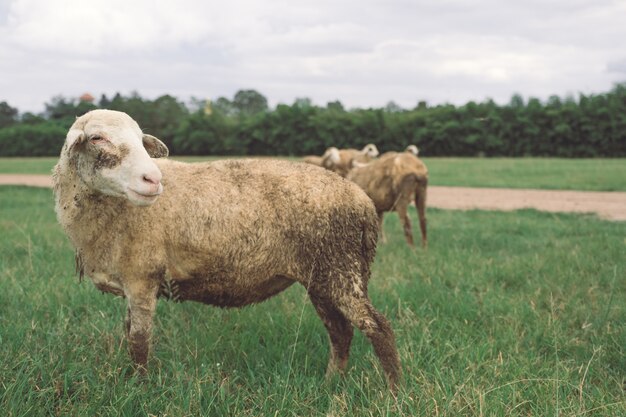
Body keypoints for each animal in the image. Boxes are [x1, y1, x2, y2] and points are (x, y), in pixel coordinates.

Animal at [51, 109, 398, 388]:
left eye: (140, 140)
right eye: (97, 138)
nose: (153, 180)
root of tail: (362, 201)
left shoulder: (142, 277)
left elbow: (138, 340)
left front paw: (140, 387)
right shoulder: (131, 279)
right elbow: (129, 334)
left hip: (341, 268)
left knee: (378, 328)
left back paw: (392, 391)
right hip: (323, 276)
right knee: (341, 331)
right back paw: (331, 382)